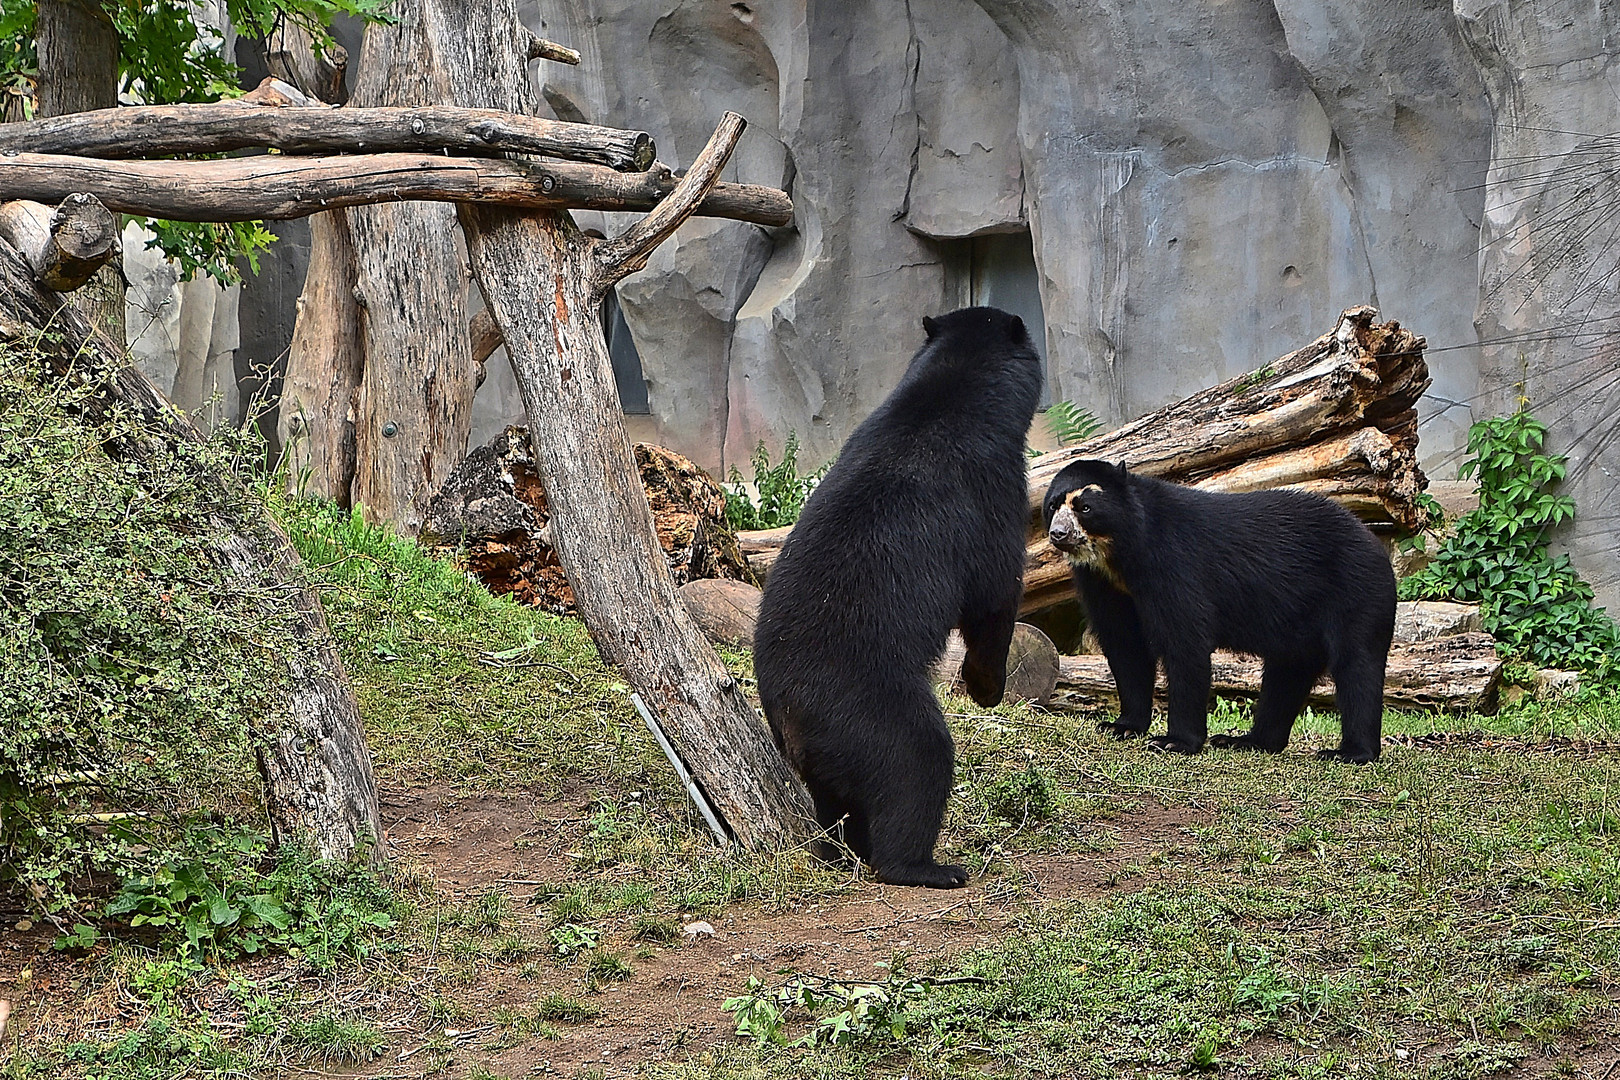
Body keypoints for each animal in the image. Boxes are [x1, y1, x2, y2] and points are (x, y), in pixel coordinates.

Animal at [754, 304, 1043, 887]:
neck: (953, 389)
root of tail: (789, 717)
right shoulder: (991, 488)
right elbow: (993, 594)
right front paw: (985, 686)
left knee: (838, 800)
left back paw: (842, 848)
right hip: (866, 703)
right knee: (915, 761)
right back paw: (924, 865)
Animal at [1043, 459, 1399, 764]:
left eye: (1084, 507)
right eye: (1052, 507)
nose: (1058, 534)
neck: (1118, 555)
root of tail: (1374, 540)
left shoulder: (1174, 565)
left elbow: (1185, 641)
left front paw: (1174, 741)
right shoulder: (1104, 586)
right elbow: (1125, 646)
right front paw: (1122, 725)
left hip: (1356, 591)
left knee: (1357, 664)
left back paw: (1350, 752)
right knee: (1287, 673)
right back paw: (1247, 740)